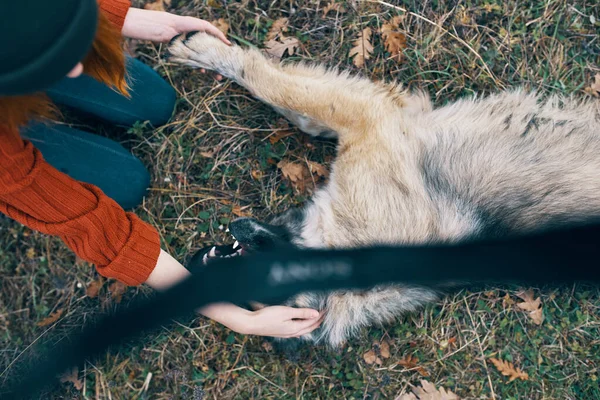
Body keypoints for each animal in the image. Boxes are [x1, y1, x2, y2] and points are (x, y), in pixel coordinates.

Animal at [166, 32, 600, 346]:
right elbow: (298, 108)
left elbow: (274, 85)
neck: (338, 241)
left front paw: (205, 52)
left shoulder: (369, 118)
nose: (196, 264)